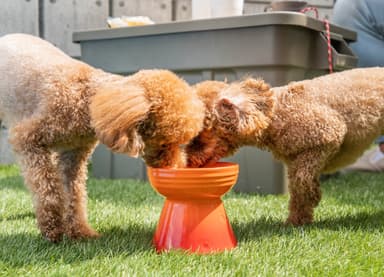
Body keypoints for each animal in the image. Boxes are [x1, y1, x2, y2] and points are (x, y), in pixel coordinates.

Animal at [0, 33, 206, 242]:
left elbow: (74, 194)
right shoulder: (27, 139)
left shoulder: (73, 155)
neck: (86, 98)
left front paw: (79, 231)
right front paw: (53, 228)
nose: (177, 167)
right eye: (164, 143)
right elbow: (47, 188)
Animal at [188, 68, 384, 225]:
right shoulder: (293, 160)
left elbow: (302, 179)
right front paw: (296, 221)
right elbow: (296, 190)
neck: (278, 113)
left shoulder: (328, 135)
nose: (188, 162)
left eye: (200, 135)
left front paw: (313, 195)